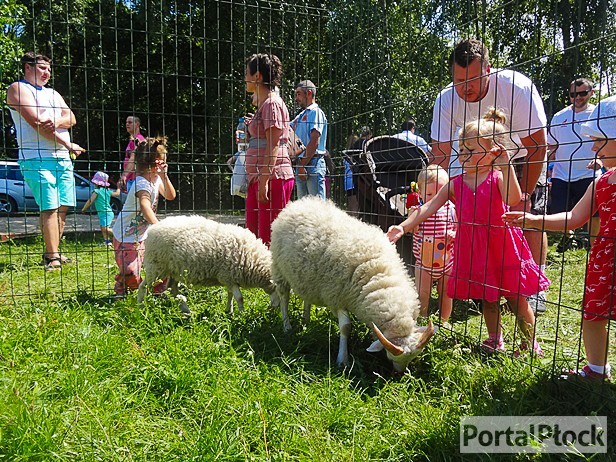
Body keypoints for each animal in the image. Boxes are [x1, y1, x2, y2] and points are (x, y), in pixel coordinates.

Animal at [138, 216, 280, 316]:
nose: (275, 309)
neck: (252, 259)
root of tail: (152, 228)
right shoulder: (228, 276)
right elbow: (239, 298)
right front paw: (242, 314)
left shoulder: (229, 278)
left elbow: (230, 295)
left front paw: (229, 311)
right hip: (155, 266)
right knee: (143, 286)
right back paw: (140, 308)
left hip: (173, 271)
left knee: (173, 291)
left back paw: (186, 311)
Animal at [270, 198, 434, 372]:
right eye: (391, 356)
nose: (400, 373)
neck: (379, 275)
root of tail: (299, 202)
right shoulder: (337, 295)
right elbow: (346, 328)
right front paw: (342, 360)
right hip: (279, 268)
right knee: (284, 296)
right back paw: (287, 327)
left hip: (306, 276)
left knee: (306, 296)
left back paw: (306, 320)